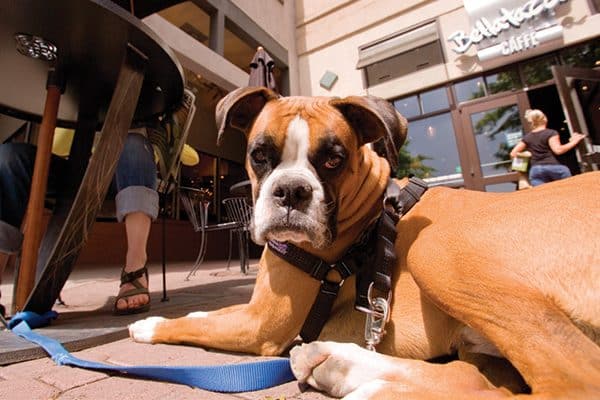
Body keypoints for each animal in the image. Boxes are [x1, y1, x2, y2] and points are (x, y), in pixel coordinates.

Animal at [131, 86, 600, 396]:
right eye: (260, 155)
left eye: (334, 160)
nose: (291, 191)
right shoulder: (252, 310)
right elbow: (211, 312)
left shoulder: (259, 325)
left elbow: (195, 323)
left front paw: (150, 325)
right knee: (478, 379)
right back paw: (340, 365)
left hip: (435, 249)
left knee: (570, 378)